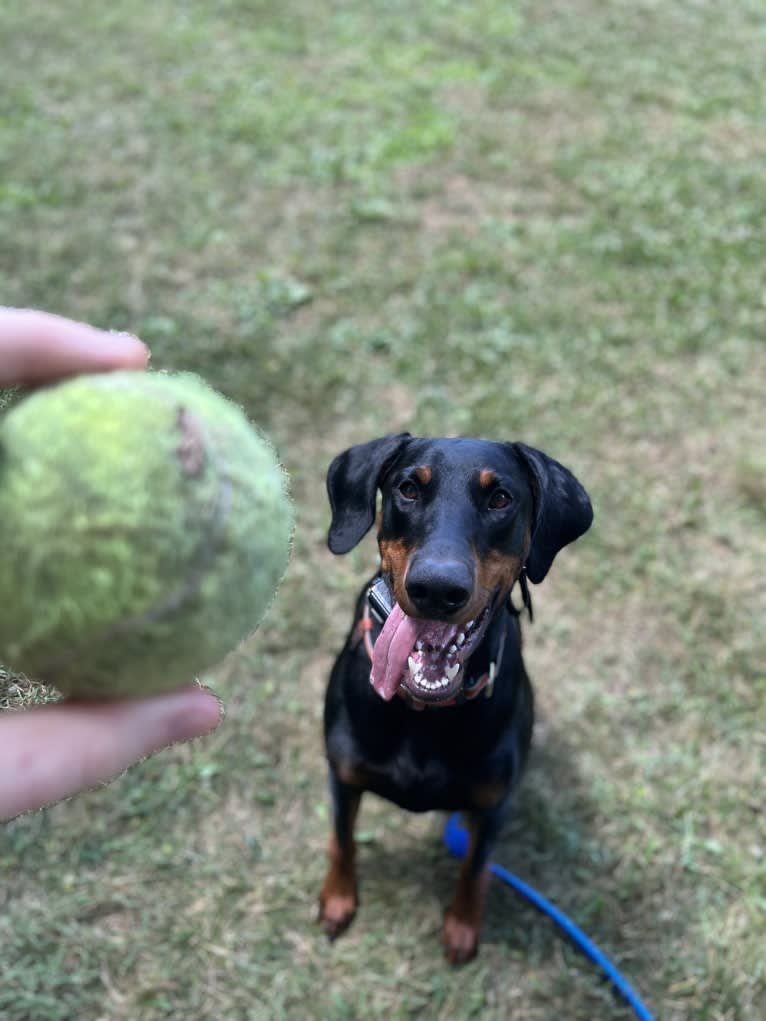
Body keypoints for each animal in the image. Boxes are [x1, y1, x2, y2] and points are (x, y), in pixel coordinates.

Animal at [318, 434, 592, 959]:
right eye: (408, 489)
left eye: (500, 499)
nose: (437, 589)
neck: (425, 713)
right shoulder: (343, 776)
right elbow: (342, 839)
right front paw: (337, 900)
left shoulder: (493, 805)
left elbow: (476, 867)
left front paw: (463, 926)